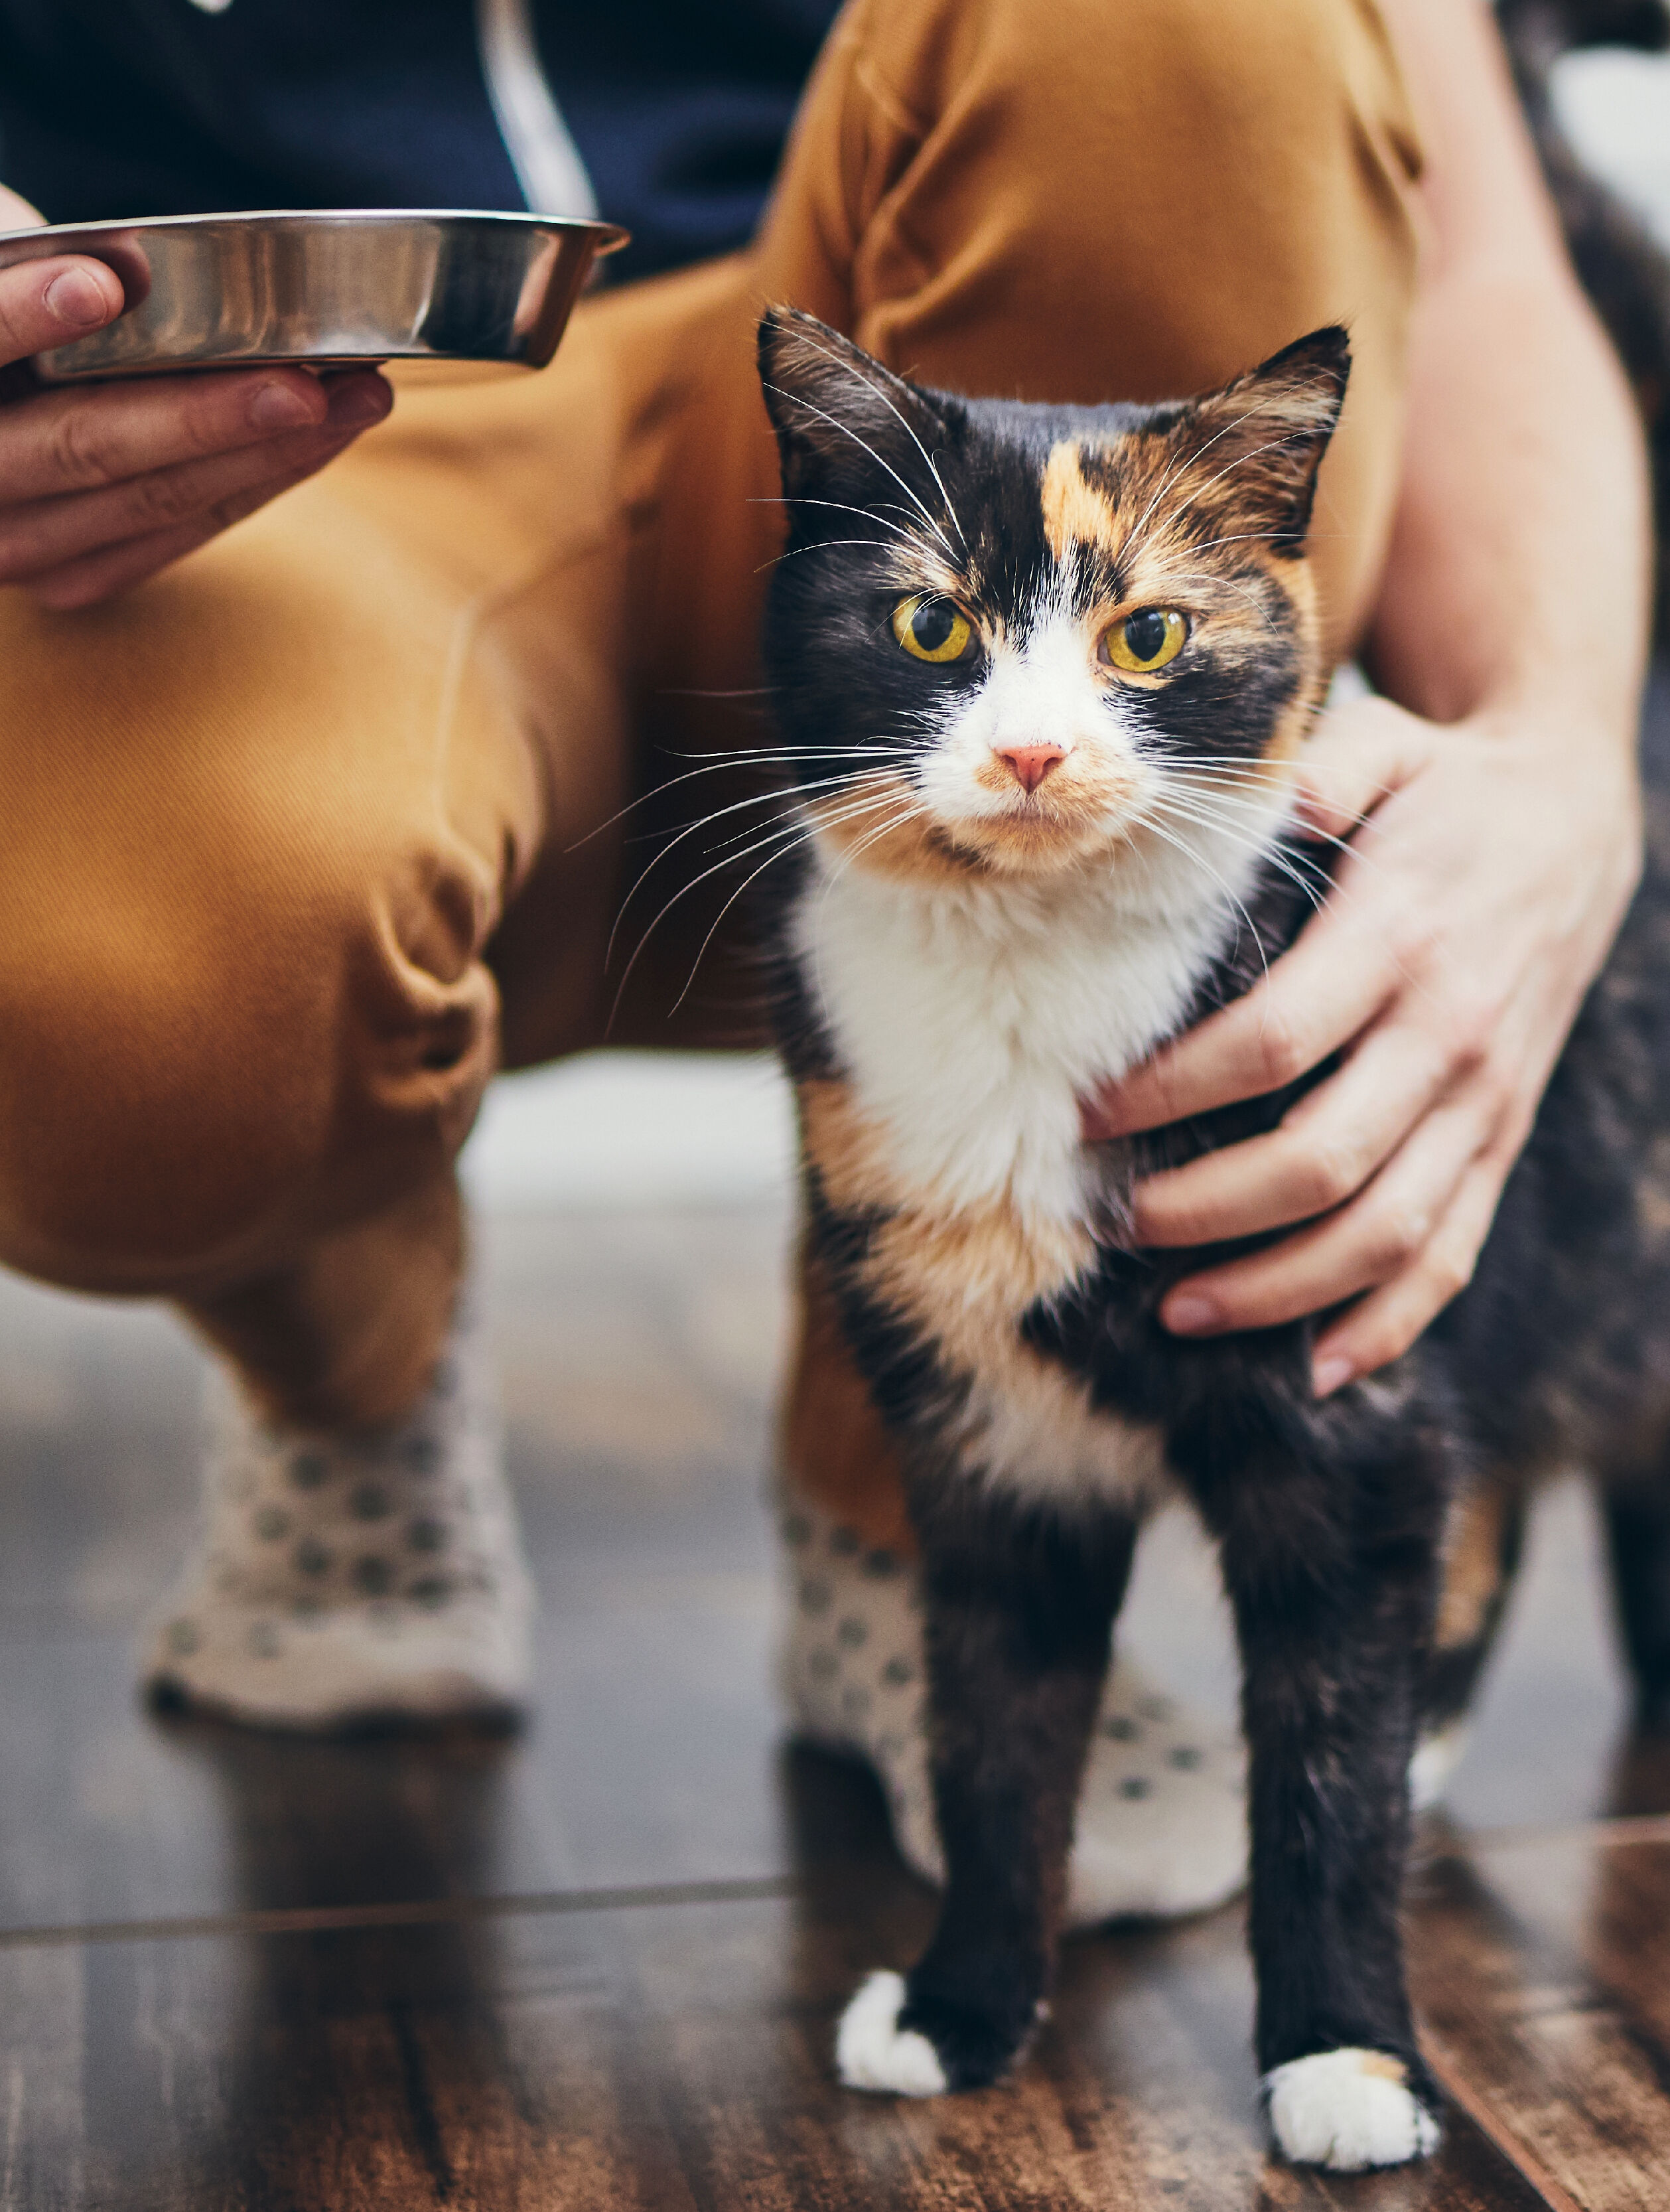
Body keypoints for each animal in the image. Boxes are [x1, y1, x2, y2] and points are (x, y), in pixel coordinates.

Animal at [752, 298, 1670, 2176]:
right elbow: (994, 1741)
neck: (1028, 990)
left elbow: (1319, 1767)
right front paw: (959, 2009)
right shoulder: (992, 1444)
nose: (1032, 753)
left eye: (1149, 634)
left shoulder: (1352, 1393)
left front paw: (1345, 2059)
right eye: (928, 622)